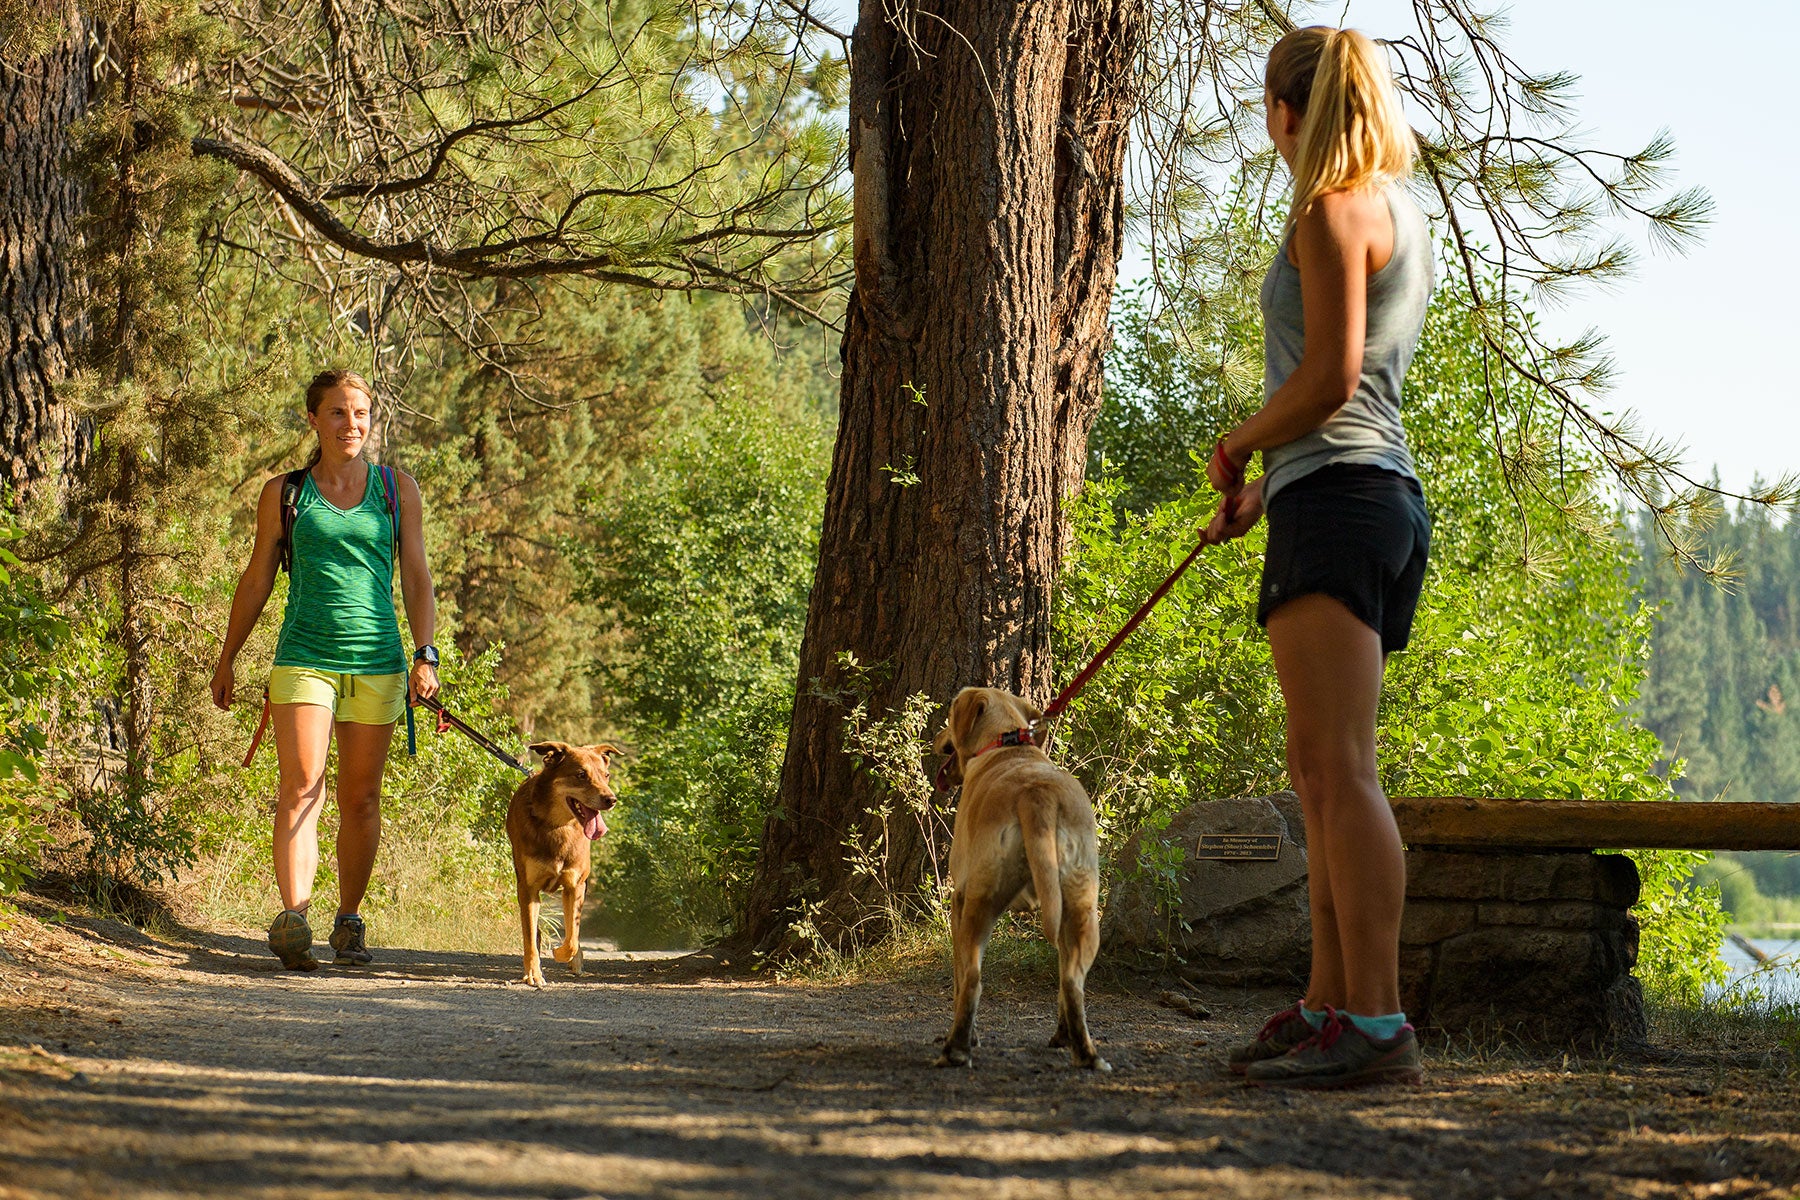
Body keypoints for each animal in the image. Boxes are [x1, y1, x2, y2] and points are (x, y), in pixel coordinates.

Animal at [507, 741, 619, 985]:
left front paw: (563, 954)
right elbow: (530, 937)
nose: (611, 800)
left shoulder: (575, 886)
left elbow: (572, 939)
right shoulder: (528, 889)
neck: (558, 825)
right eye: (581, 775)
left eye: (606, 775)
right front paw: (534, 973)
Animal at [928, 690, 1108, 1072]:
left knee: (972, 979)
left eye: (950, 714)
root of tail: (1036, 794)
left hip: (979, 904)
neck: (1006, 743)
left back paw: (956, 1048)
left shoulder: (958, 903)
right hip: (1082, 909)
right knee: (1072, 981)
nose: (937, 738)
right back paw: (1083, 1050)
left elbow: (958, 979)